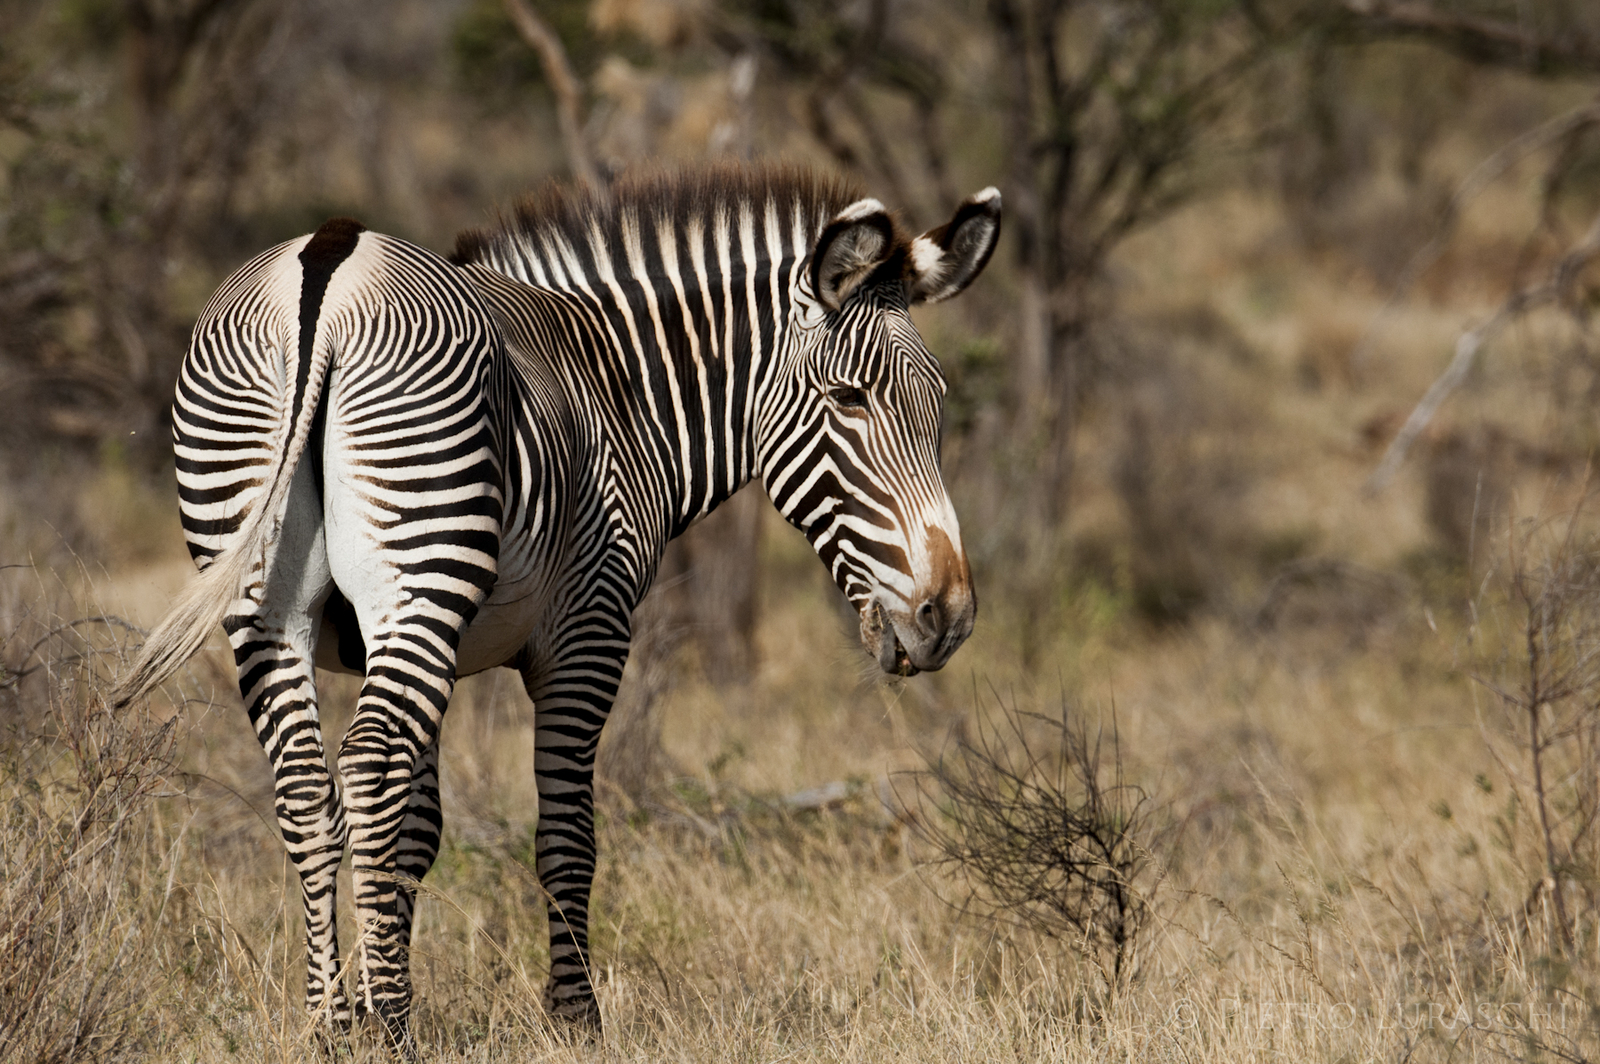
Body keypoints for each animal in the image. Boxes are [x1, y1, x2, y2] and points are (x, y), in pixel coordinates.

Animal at [112, 163, 1001, 1048]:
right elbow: (568, 837)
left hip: (271, 601)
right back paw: (389, 1032)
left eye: (940, 403)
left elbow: (417, 833)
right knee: (364, 768)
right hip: (419, 576)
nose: (948, 616)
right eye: (849, 399)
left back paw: (330, 1024)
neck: (619, 391)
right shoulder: (587, 634)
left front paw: (375, 990)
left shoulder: (415, 650)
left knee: (308, 788)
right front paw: (573, 1021)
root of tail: (328, 267)